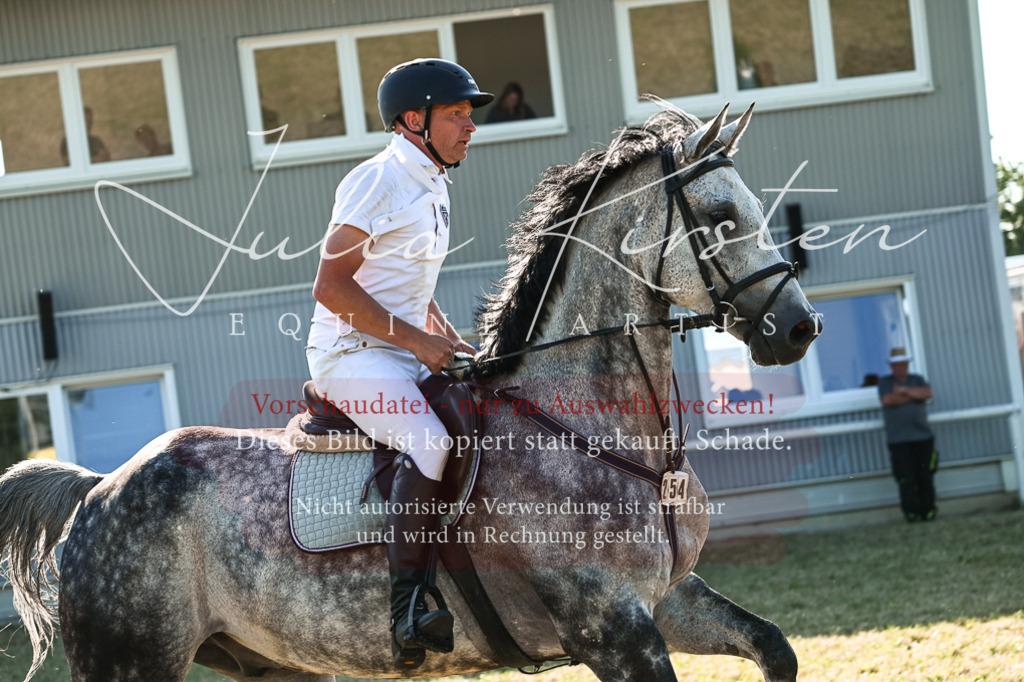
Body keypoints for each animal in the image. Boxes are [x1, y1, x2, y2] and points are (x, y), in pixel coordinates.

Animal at [0, 103, 816, 681]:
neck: (591, 433)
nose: (799, 328)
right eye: (721, 221)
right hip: (132, 659)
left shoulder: (666, 599)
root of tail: (99, 488)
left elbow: (774, 646)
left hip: (267, 661)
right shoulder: (611, 626)